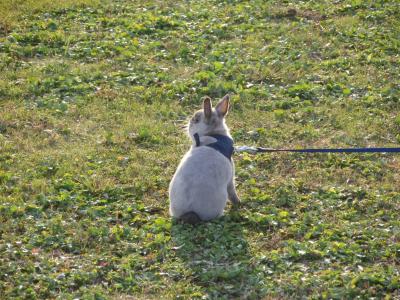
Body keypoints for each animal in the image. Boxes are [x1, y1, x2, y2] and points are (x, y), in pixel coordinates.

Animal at [169, 95, 241, 224]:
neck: (213, 135)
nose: (189, 123)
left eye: (196, 120)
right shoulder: (231, 177)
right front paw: (238, 203)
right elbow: (233, 193)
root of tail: (190, 213)